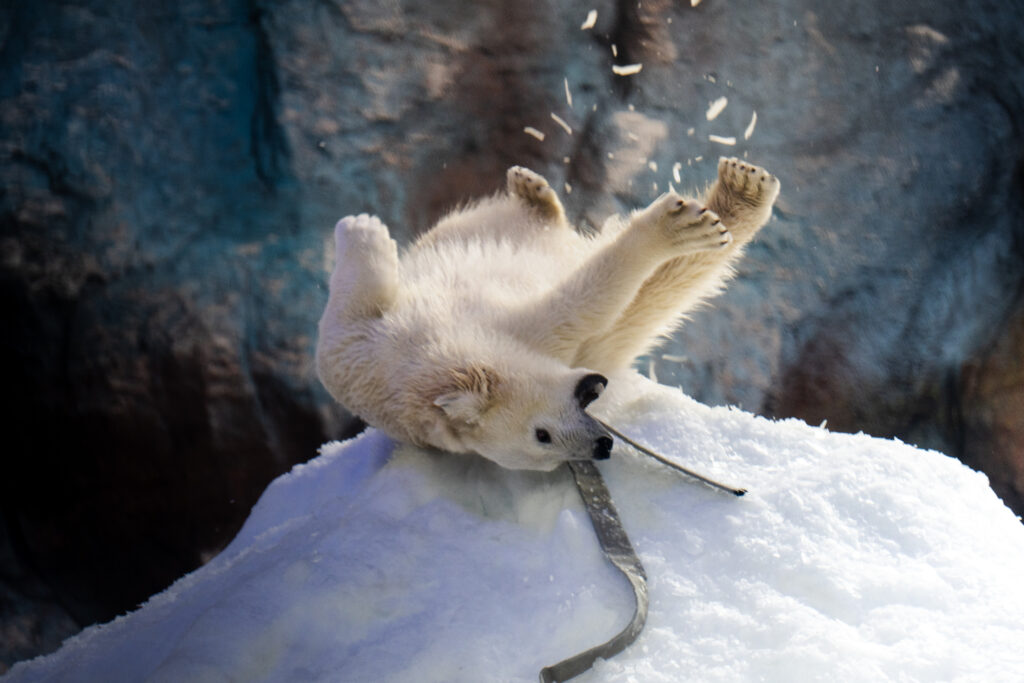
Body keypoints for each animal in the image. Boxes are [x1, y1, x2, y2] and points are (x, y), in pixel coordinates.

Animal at [316, 157, 780, 471]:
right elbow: (592, 299)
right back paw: (741, 195)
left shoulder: (379, 343)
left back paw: (533, 191)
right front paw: (673, 229)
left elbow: (343, 325)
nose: (602, 447)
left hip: (460, 230)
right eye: (544, 439)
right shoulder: (540, 335)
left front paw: (359, 227)